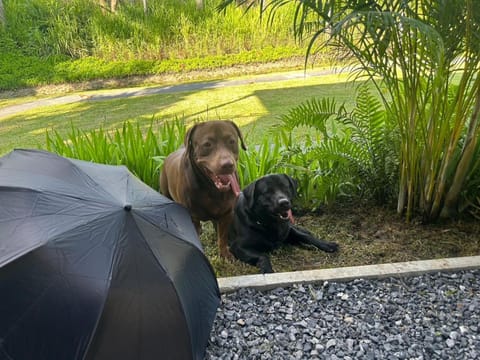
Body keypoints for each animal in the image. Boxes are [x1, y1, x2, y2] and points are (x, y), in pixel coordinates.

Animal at [159, 121, 246, 258]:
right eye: (207, 144)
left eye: (232, 141)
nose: (227, 165)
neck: (211, 188)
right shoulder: (191, 215)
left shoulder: (227, 213)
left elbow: (222, 236)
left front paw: (224, 254)